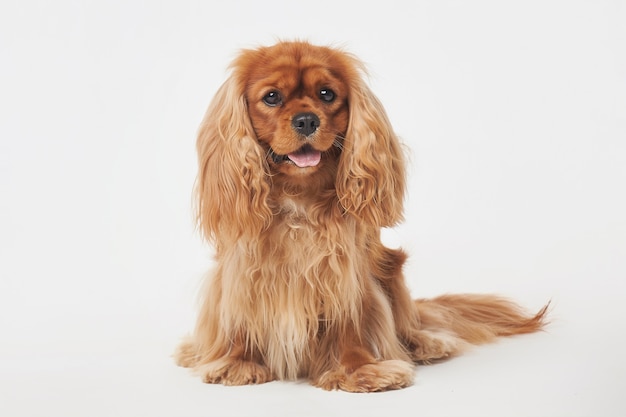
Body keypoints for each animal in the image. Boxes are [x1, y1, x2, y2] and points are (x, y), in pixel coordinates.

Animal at [176, 39, 544, 390]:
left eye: (327, 94)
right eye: (272, 97)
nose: (306, 120)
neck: (298, 198)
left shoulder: (346, 273)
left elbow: (350, 323)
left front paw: (359, 370)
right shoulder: (242, 271)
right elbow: (241, 318)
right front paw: (238, 362)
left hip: (392, 270)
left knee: (408, 323)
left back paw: (423, 343)